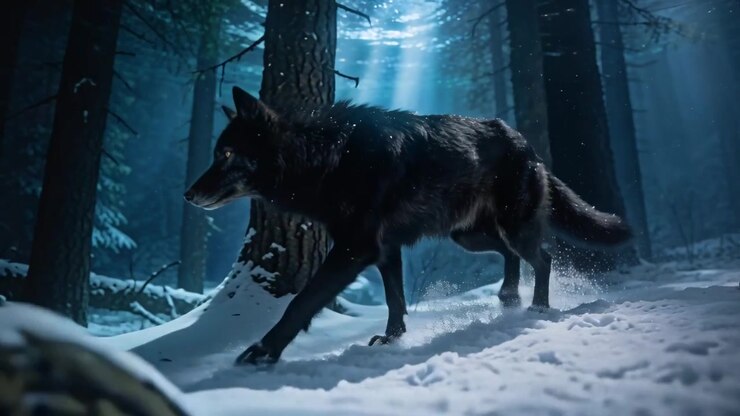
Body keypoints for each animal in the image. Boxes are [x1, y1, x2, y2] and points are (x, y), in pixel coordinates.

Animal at [185, 87, 631, 364]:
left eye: (226, 153)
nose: (187, 194)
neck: (327, 158)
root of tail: (526, 143)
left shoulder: (356, 249)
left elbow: (302, 302)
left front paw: (264, 351)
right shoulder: (385, 250)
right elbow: (394, 300)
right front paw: (393, 338)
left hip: (510, 228)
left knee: (544, 257)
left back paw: (536, 306)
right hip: (467, 236)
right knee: (511, 255)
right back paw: (508, 297)